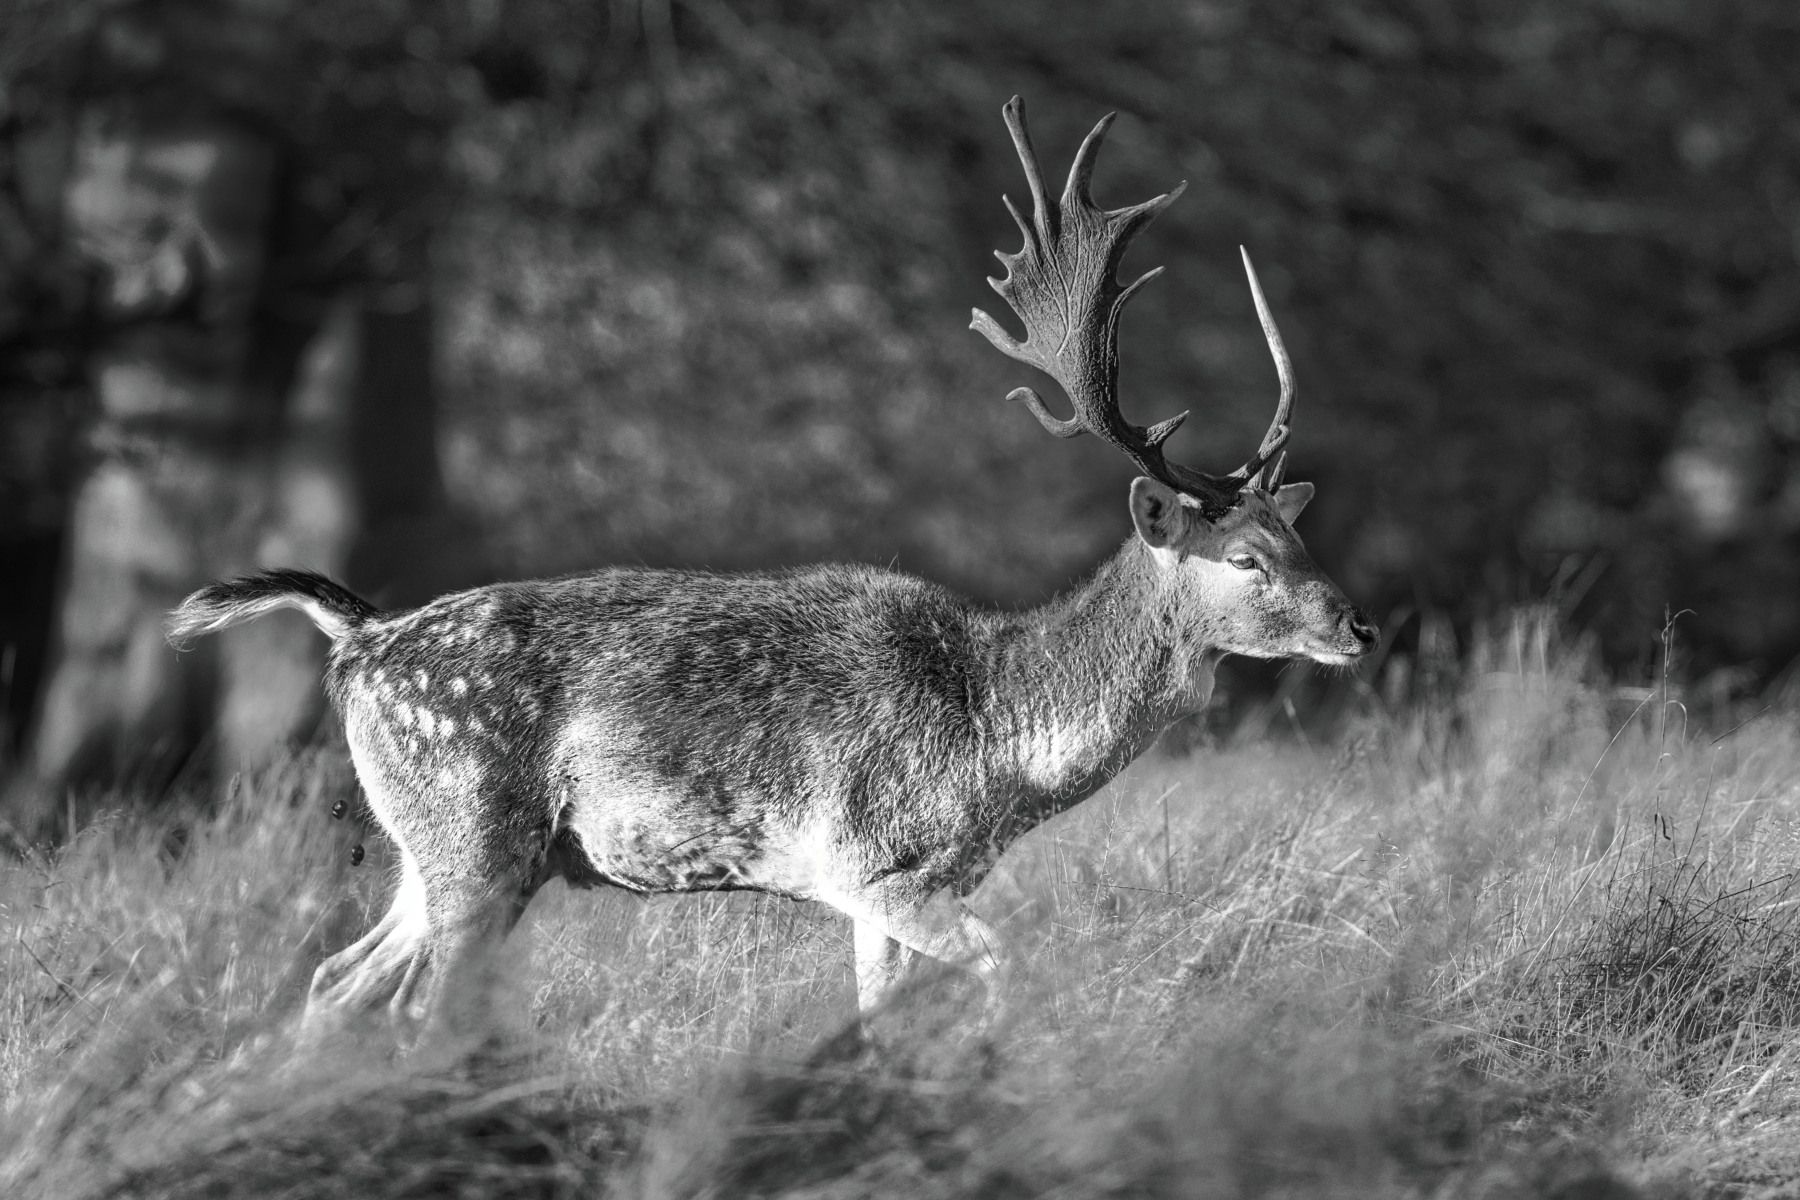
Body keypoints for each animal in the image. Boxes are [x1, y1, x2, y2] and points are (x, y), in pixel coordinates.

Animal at [166, 97, 1377, 1043]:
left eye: (1301, 537)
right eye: (1246, 556)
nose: (1355, 627)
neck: (998, 740)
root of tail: (363, 640)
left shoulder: (901, 886)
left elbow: (879, 1020)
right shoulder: (869, 862)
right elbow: (1010, 969)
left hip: (434, 853)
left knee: (337, 980)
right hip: (471, 827)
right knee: (416, 1003)